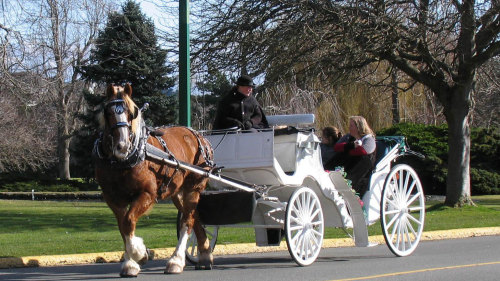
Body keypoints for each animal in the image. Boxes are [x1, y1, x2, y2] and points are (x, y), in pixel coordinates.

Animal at [94, 83, 213, 276]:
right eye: (108, 112)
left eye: (132, 113)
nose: (122, 146)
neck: (123, 162)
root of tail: (199, 136)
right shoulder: (112, 198)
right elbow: (123, 226)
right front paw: (131, 262)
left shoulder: (148, 194)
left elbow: (129, 221)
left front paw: (140, 254)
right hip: (178, 193)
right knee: (194, 216)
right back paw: (204, 254)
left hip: (194, 187)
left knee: (187, 221)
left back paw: (176, 260)